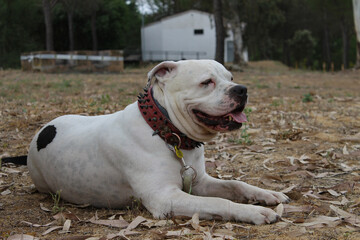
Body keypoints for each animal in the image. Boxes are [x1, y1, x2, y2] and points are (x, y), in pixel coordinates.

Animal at [26, 60, 288, 225]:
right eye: (206, 82)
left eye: (231, 78)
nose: (242, 89)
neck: (167, 133)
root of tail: (44, 129)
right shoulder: (165, 198)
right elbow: (219, 202)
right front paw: (255, 211)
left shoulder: (199, 182)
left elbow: (236, 185)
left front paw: (267, 194)